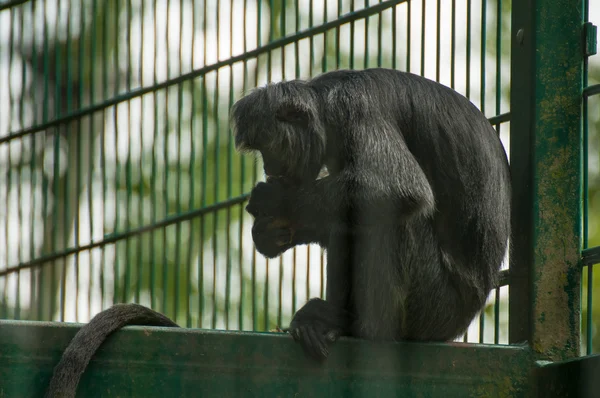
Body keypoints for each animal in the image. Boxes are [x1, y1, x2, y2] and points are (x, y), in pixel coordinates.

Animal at [231, 67, 510, 360]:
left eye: (268, 149)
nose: (268, 168)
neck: (328, 96)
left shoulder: (355, 106)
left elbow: (398, 186)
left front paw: (276, 201)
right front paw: (273, 231)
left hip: (434, 304)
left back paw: (351, 323)